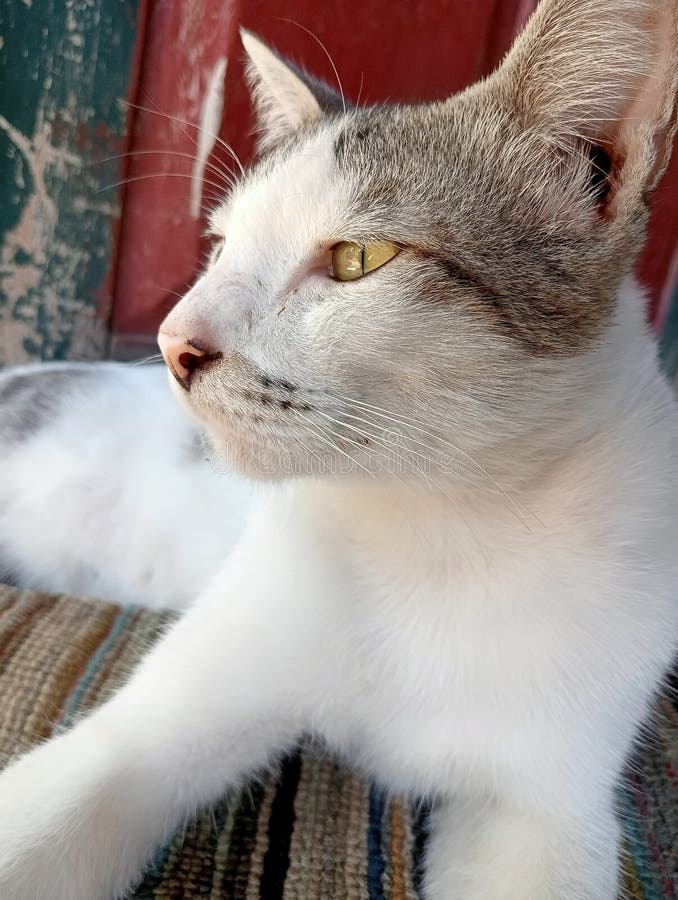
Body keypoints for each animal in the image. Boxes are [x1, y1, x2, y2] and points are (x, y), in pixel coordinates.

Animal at [1, 1, 678, 900]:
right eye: (221, 247)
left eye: (359, 258)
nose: (173, 340)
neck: (437, 530)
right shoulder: (170, 712)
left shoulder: (547, 806)